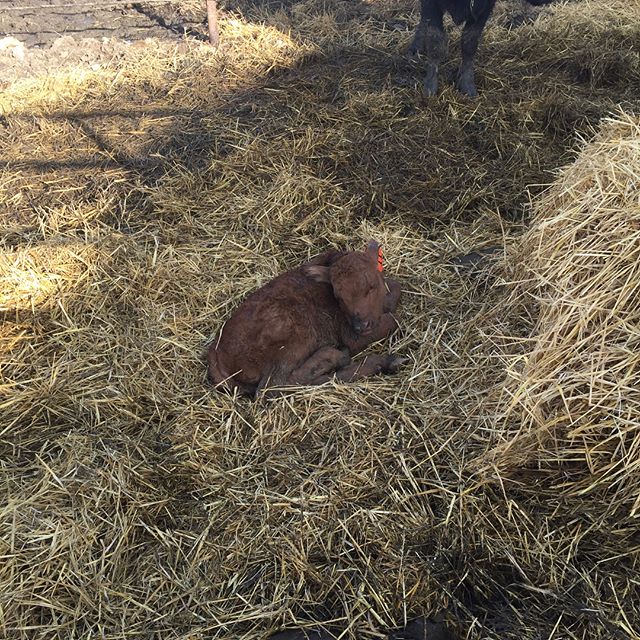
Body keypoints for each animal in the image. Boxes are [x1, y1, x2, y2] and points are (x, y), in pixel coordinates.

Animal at [207, 241, 404, 397]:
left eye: (371, 286)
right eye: (338, 297)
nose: (361, 325)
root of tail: (215, 354)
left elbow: (396, 286)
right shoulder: (350, 335)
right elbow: (393, 319)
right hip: (295, 335)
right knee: (274, 387)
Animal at [409, 0, 553, 97]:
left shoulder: (484, 8)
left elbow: (469, 43)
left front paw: (467, 86)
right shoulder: (431, 5)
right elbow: (435, 43)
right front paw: (430, 88)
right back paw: (415, 47)